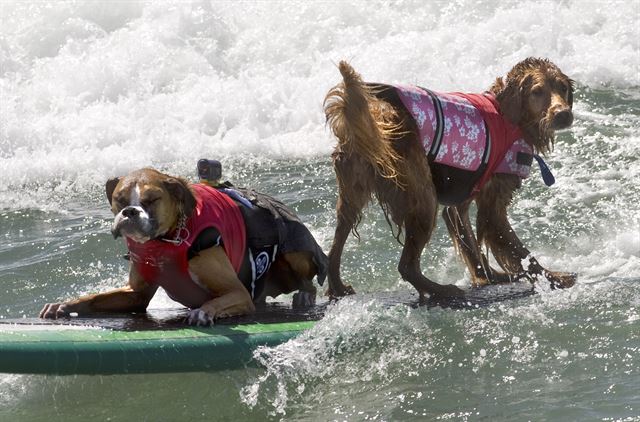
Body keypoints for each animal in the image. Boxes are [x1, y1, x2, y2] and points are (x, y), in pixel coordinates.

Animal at [324, 57, 576, 298]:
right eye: (537, 91)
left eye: (563, 88)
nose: (563, 114)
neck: (508, 115)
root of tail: (377, 116)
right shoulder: (493, 204)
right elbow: (519, 250)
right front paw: (554, 277)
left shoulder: (462, 199)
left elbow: (470, 241)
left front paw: (489, 276)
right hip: (423, 196)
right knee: (406, 266)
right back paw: (441, 290)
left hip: (352, 193)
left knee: (336, 245)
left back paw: (338, 287)